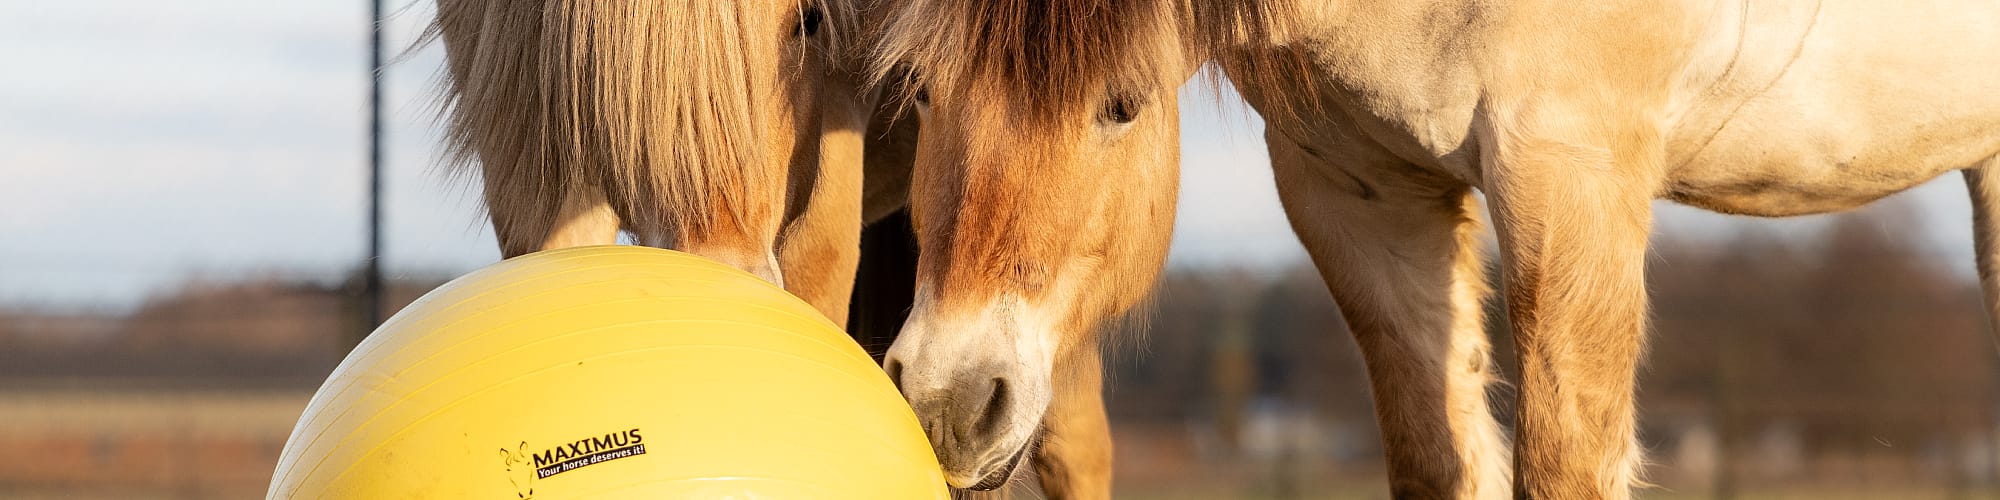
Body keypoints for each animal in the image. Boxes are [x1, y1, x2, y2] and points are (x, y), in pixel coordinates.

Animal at [874, 0, 2000, 498]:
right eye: (920, 93)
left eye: (1121, 106)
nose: (944, 401)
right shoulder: (1355, 190)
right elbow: (1436, 458)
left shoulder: (1570, 167)